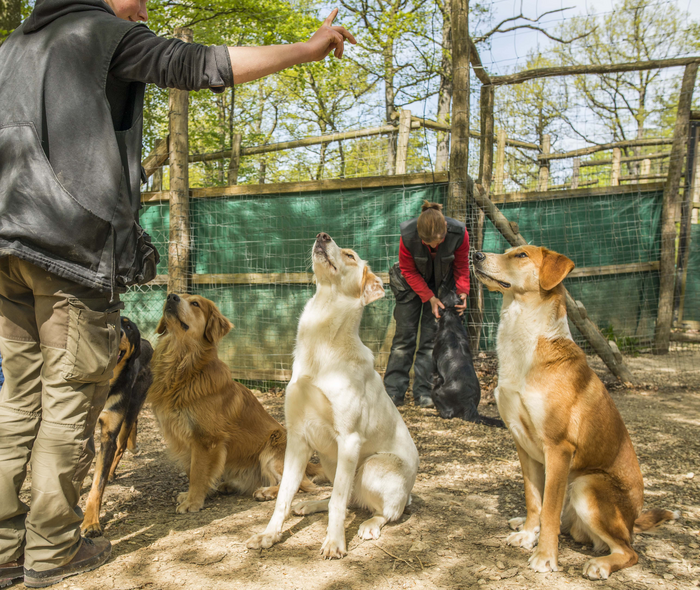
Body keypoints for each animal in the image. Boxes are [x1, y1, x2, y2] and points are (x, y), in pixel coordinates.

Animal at [81, 320, 153, 540]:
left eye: (128, 327)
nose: (117, 332)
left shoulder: (109, 434)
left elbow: (98, 484)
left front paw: (91, 523)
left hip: (131, 408)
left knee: (122, 444)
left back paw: (115, 468)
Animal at [247, 231, 418, 560]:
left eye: (350, 255)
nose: (322, 235)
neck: (322, 344)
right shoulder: (298, 439)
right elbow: (285, 495)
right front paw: (269, 535)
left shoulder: (349, 440)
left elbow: (338, 501)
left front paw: (335, 542)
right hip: (328, 458)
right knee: (347, 498)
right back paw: (310, 504)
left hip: (372, 467)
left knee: (385, 511)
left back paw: (370, 525)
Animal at [432, 292, 504, 428]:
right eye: (455, 294)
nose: (454, 289)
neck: (452, 318)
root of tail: (469, 403)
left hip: (437, 391)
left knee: (447, 413)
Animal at [474, 246, 676, 584]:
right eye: (506, 252)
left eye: (521, 255)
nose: (475, 254)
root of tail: (633, 520)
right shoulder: (521, 442)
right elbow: (534, 500)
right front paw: (528, 534)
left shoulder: (558, 447)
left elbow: (550, 509)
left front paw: (545, 557)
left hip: (586, 486)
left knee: (628, 550)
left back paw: (601, 564)